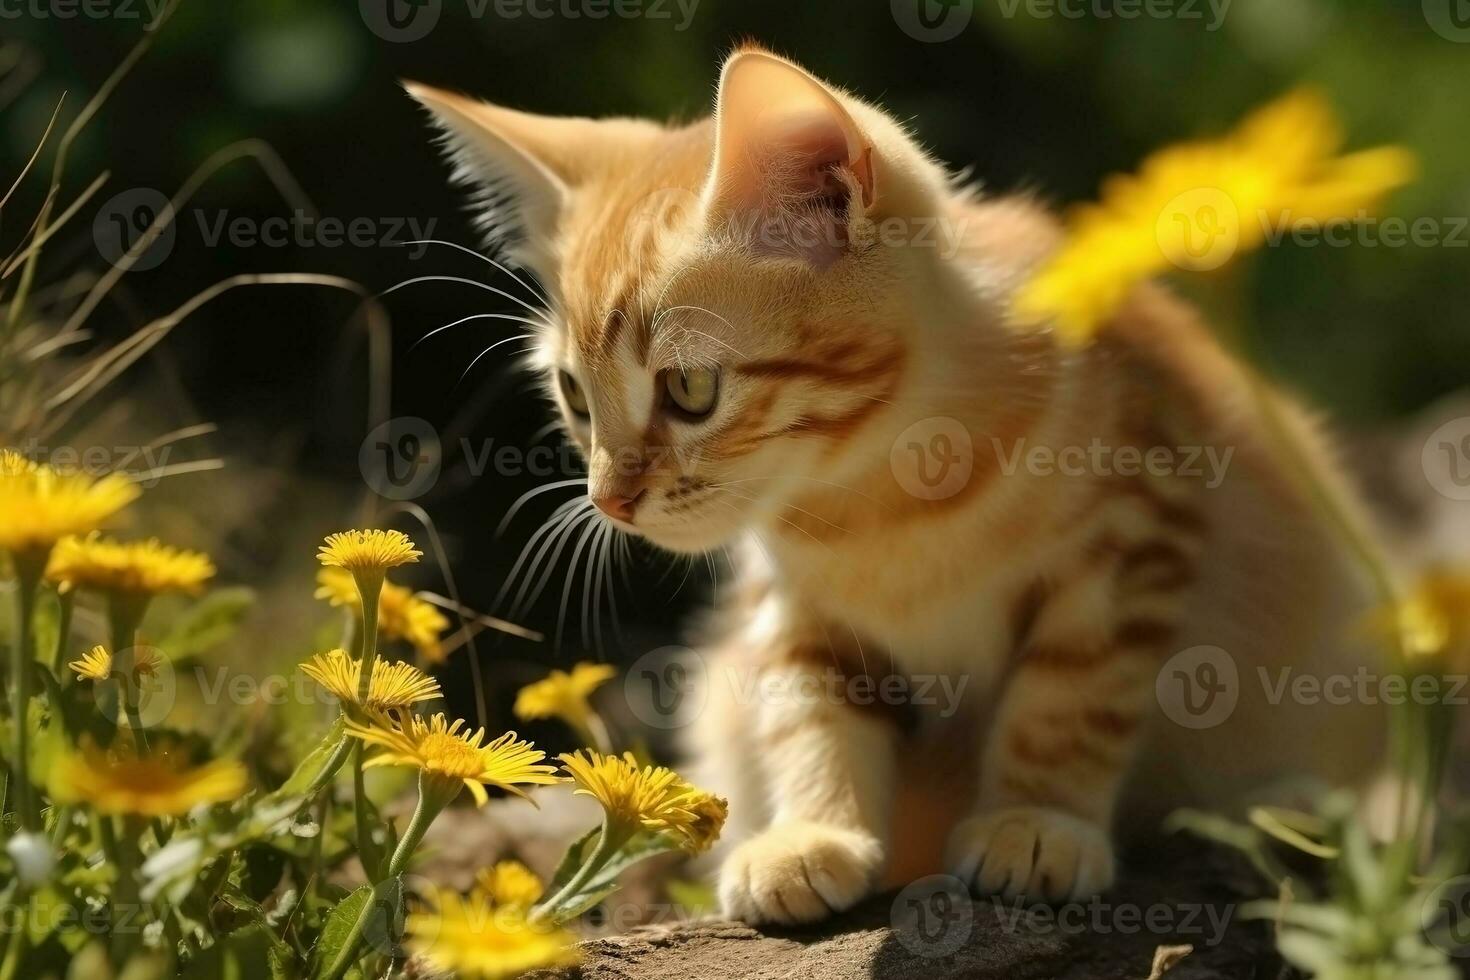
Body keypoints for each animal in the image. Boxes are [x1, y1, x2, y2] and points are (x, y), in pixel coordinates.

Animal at [408, 44, 1381, 922]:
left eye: (689, 390)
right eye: (575, 396)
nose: (609, 499)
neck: (877, 498)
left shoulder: (1140, 533)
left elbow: (1070, 697)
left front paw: (1037, 820)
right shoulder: (793, 606)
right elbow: (807, 709)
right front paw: (811, 834)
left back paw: (1286, 806)